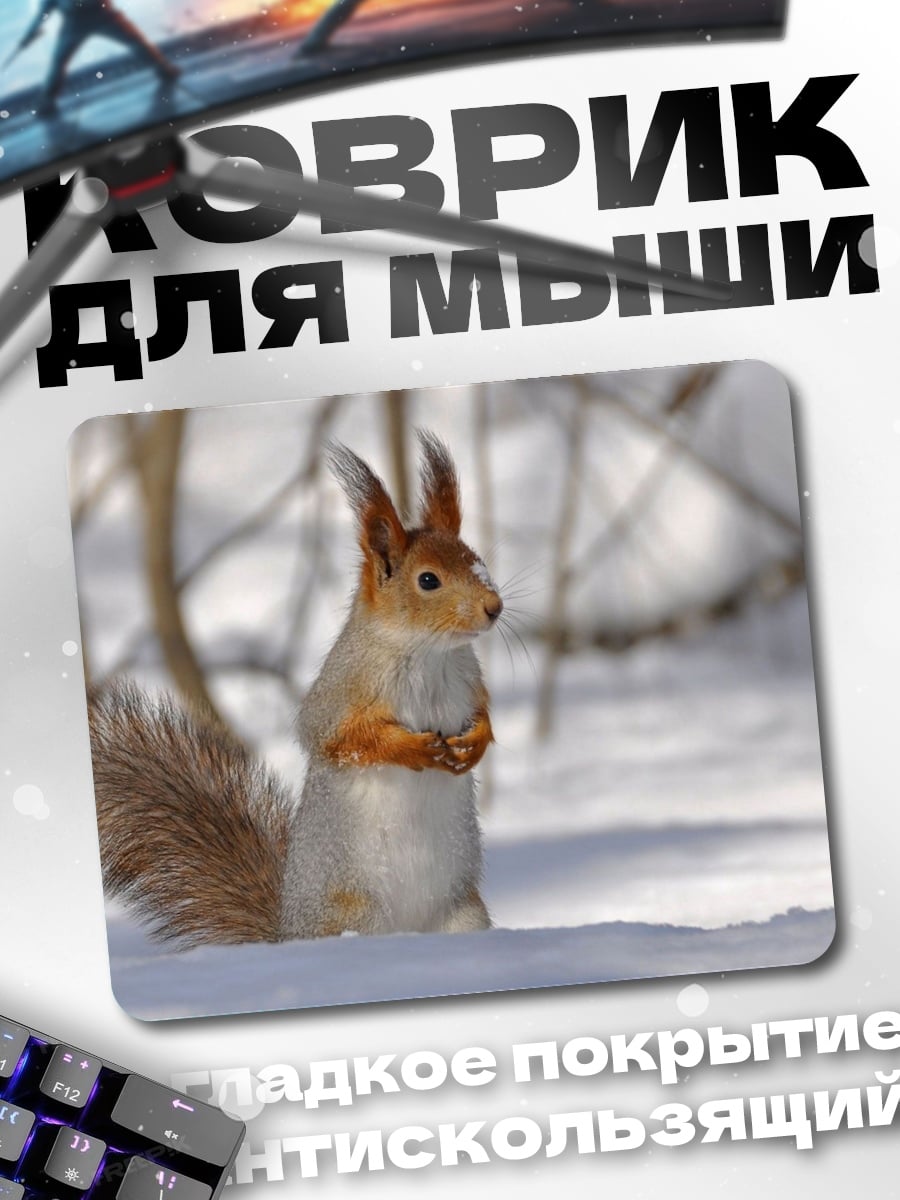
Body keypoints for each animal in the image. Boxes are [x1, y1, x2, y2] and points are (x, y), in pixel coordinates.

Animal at [89, 430, 504, 946]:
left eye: (479, 562)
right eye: (428, 580)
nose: (494, 607)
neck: (430, 653)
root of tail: (289, 933)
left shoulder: (470, 681)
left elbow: (483, 714)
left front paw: (475, 743)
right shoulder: (340, 691)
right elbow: (336, 739)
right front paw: (413, 749)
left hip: (463, 915)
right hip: (357, 914)